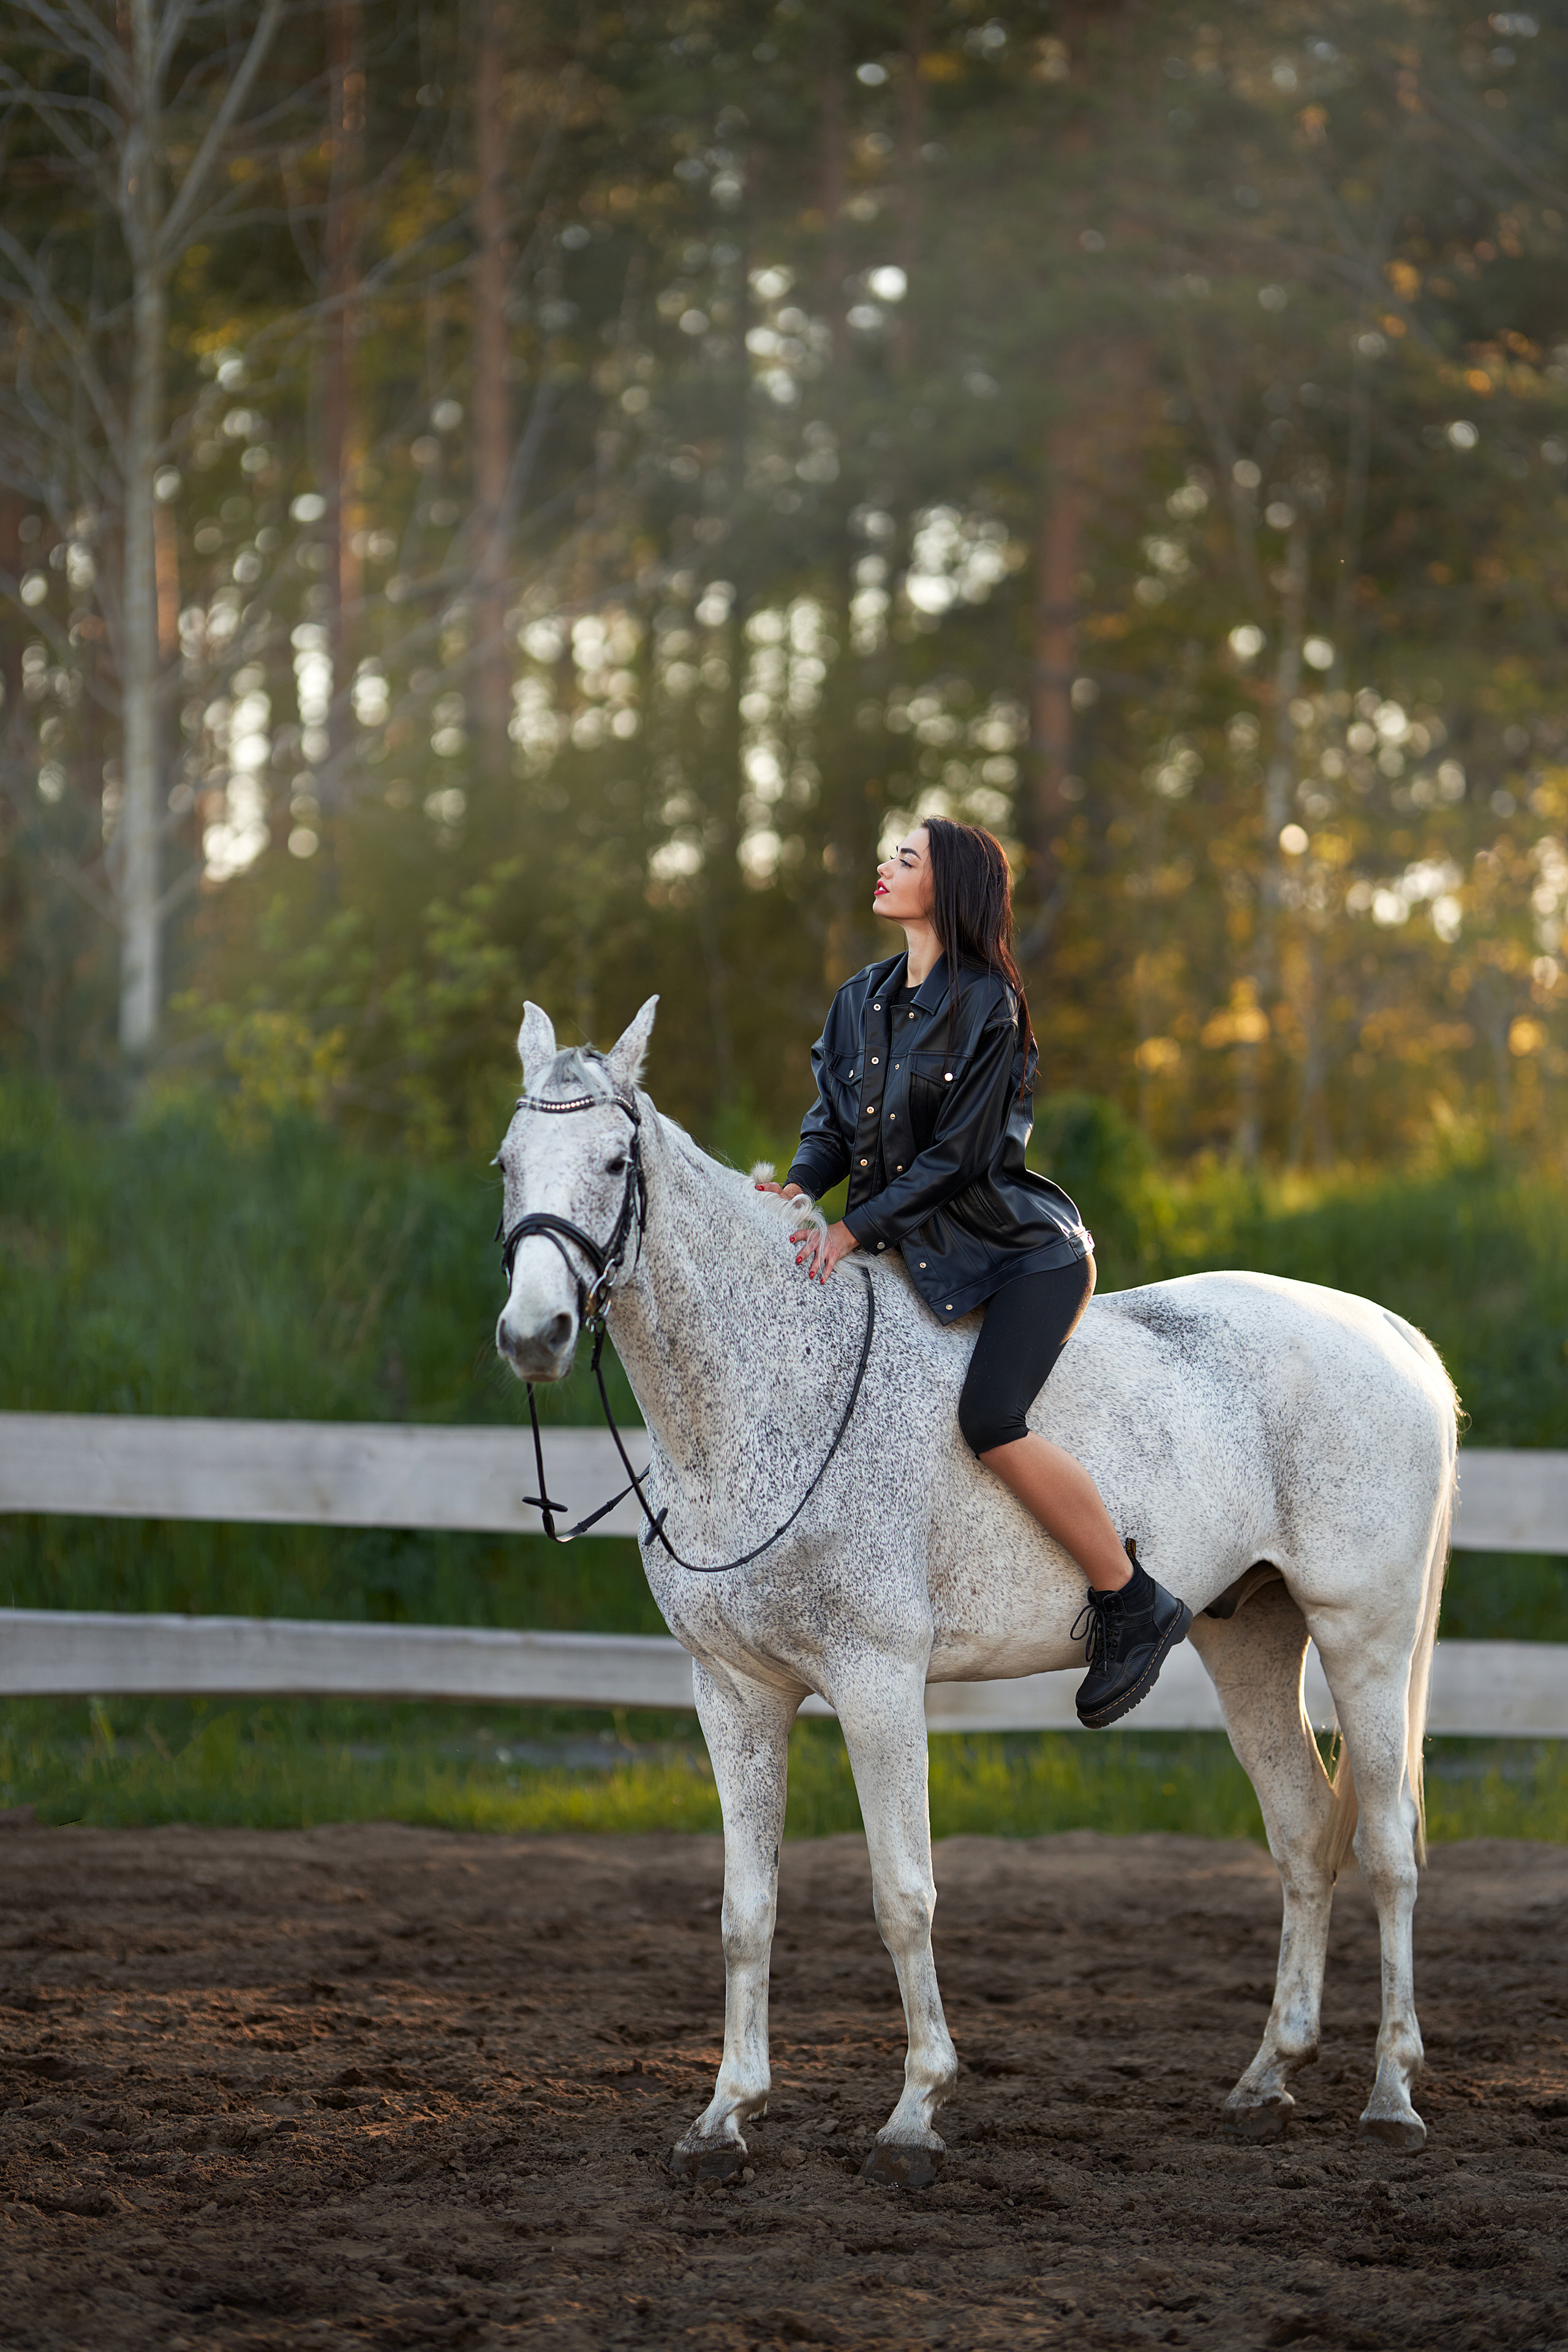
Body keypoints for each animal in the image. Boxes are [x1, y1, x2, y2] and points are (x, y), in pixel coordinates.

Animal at [492, 998, 1458, 2180]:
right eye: (507, 1164)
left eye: (615, 1161)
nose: (532, 1334)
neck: (770, 1389)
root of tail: (1387, 1333)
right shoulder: (732, 1694)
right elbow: (743, 1910)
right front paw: (724, 2115)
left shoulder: (876, 1684)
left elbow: (902, 1896)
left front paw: (915, 2110)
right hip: (1252, 1643)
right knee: (1305, 1834)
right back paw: (1268, 2075)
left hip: (1366, 1637)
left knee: (1387, 1848)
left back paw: (1392, 2092)